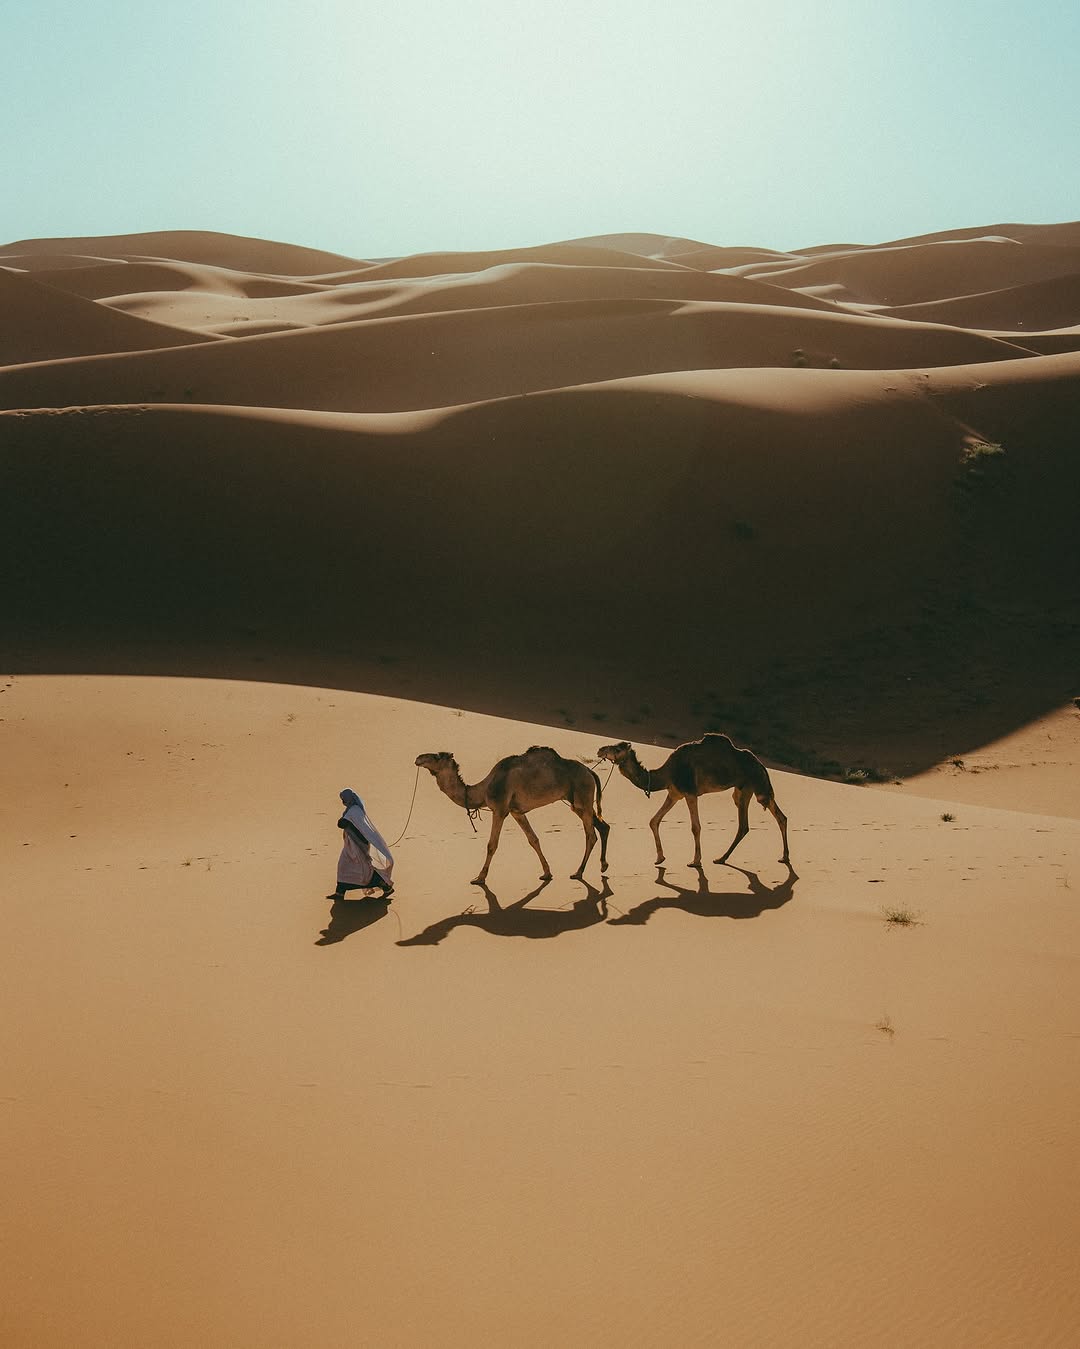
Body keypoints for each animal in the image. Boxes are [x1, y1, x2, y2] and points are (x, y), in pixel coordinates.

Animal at [415, 745, 610, 885]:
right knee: (603, 826)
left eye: (437, 756)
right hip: (579, 803)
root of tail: (590, 771)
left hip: (582, 796)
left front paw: (479, 877)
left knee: (591, 834)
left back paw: (578, 872)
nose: (418, 758)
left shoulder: (500, 809)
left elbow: (492, 845)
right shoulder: (517, 812)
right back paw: (603, 866)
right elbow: (533, 839)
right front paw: (546, 873)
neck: (483, 790)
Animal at [596, 734, 789, 867]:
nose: (599, 750)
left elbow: (695, 827)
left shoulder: (690, 793)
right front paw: (660, 858)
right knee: (774, 818)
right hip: (743, 790)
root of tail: (761, 764)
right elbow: (654, 820)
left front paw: (695, 861)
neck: (667, 772)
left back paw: (721, 858)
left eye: (617, 749)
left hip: (755, 786)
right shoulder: (674, 793)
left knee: (752, 821)